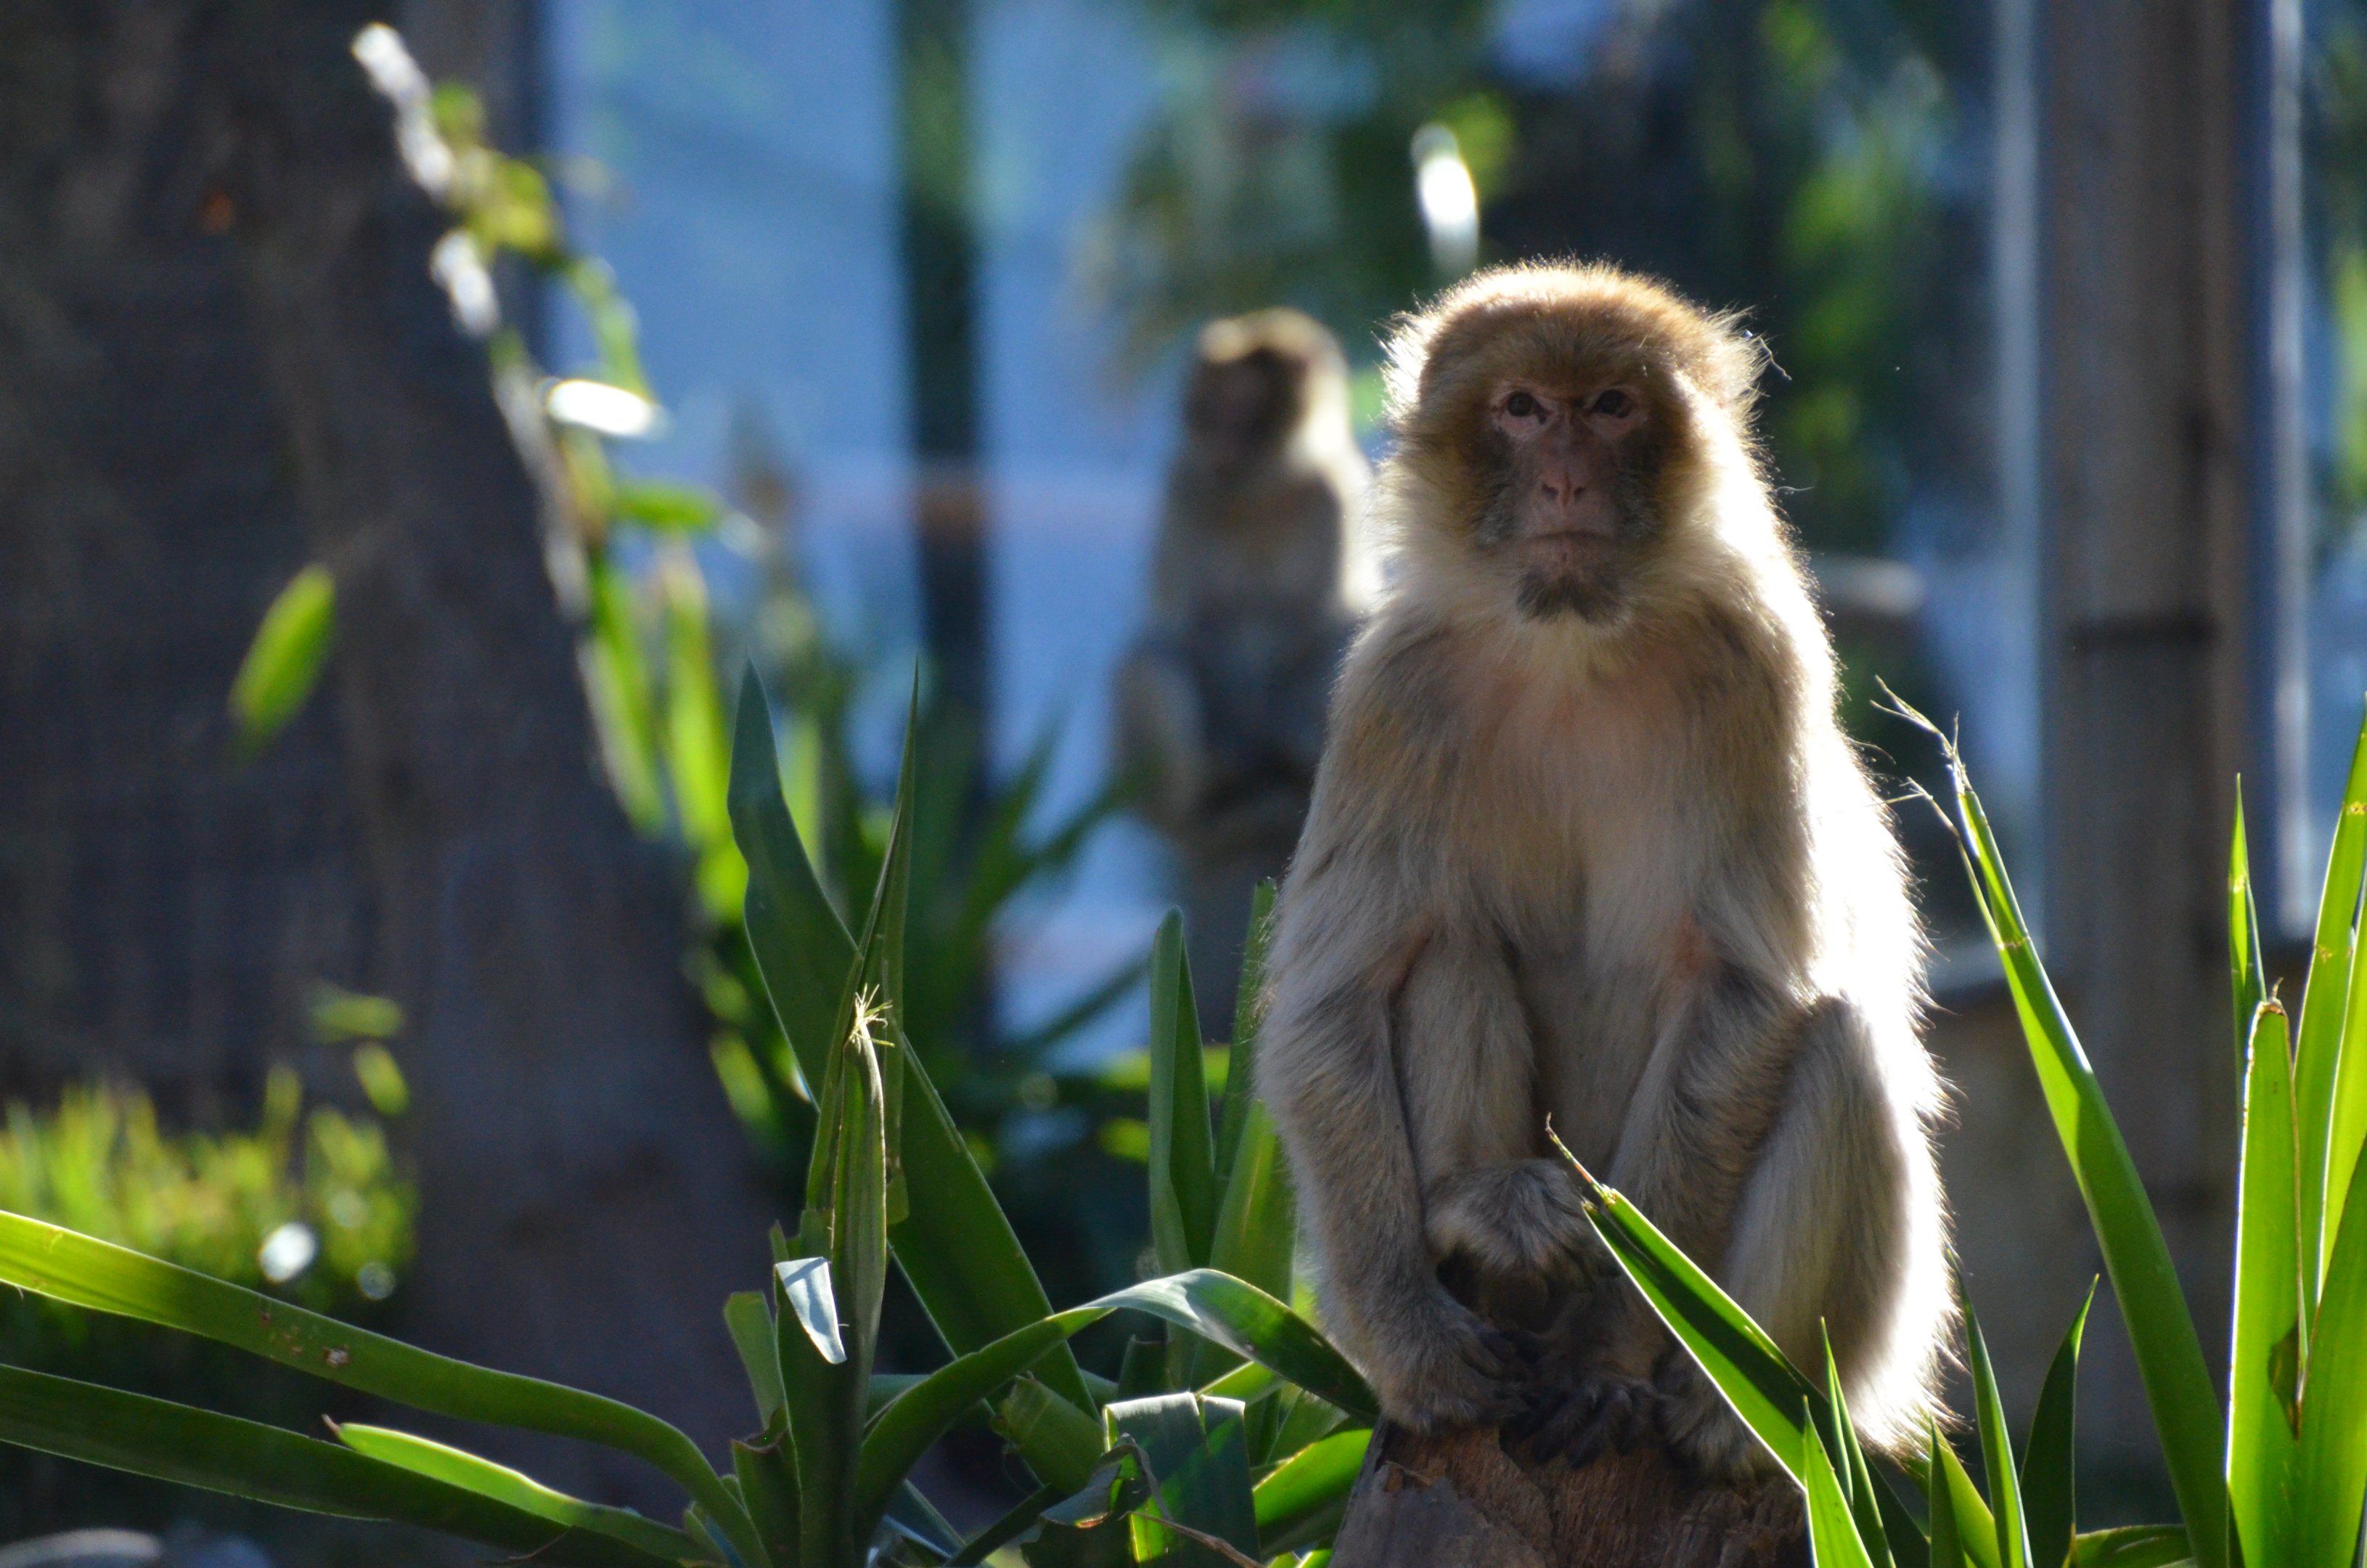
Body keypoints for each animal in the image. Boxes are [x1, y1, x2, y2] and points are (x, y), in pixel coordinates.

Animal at [1115, 308, 1379, 1022]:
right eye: (1206, 410)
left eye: (1240, 412)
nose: (1217, 440)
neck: (1260, 491)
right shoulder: (1182, 483)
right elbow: (1184, 628)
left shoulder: (1330, 493)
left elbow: (1326, 621)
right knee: (1152, 659)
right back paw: (1218, 792)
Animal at [1255, 263, 1950, 1478]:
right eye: (1525, 409)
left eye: (1612, 409)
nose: (1567, 476)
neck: (1572, 647)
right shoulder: (1392, 693)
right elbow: (1333, 1005)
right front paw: (1411, 1341)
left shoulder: (1754, 668)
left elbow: (1747, 993)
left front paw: (1608, 1352)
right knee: (1443, 953)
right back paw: (1483, 1224)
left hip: (1866, 1354)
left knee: (1838, 1047)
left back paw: (1729, 1416)